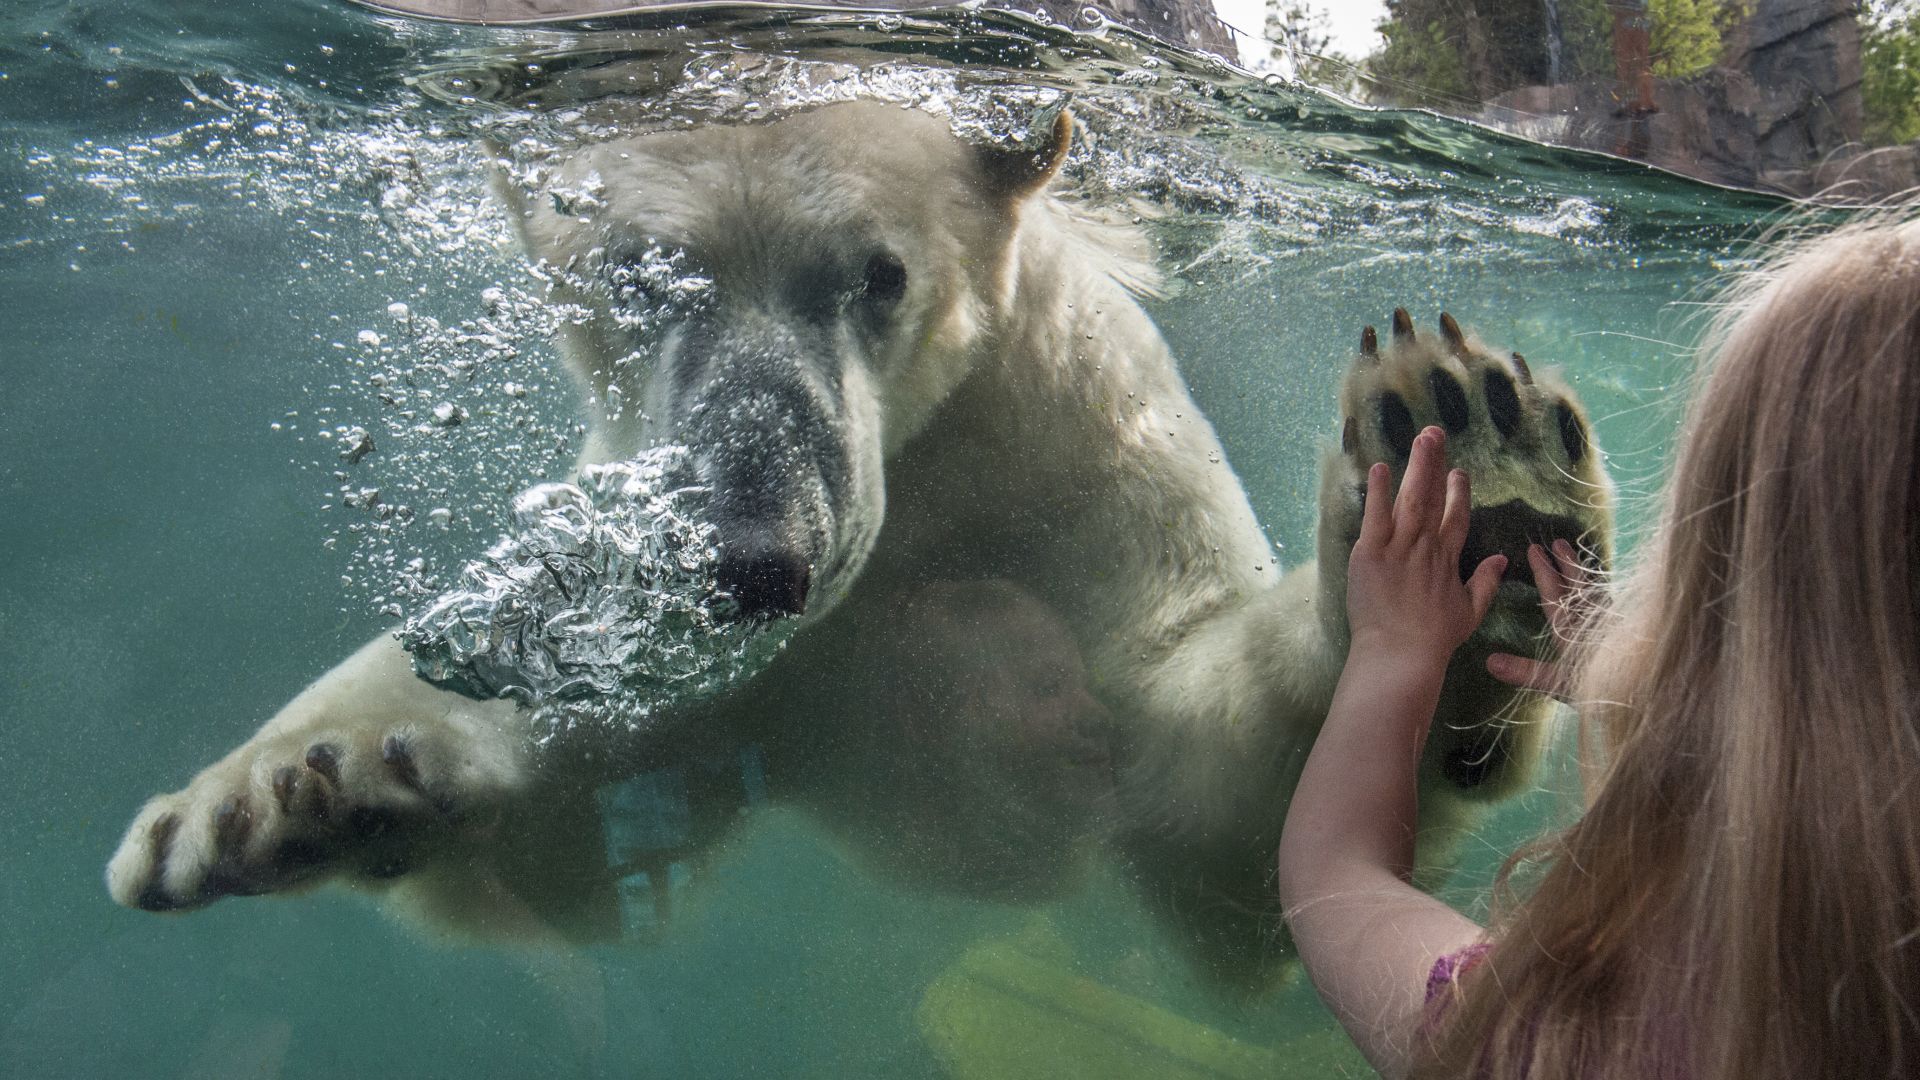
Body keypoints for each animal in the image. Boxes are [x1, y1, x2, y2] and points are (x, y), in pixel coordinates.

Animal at [101, 105, 1605, 991]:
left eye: (876, 274)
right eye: (636, 277)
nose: (756, 553)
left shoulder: (1080, 448)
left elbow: (1203, 811)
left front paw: (1471, 502)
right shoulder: (665, 610)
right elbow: (576, 849)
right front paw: (282, 791)